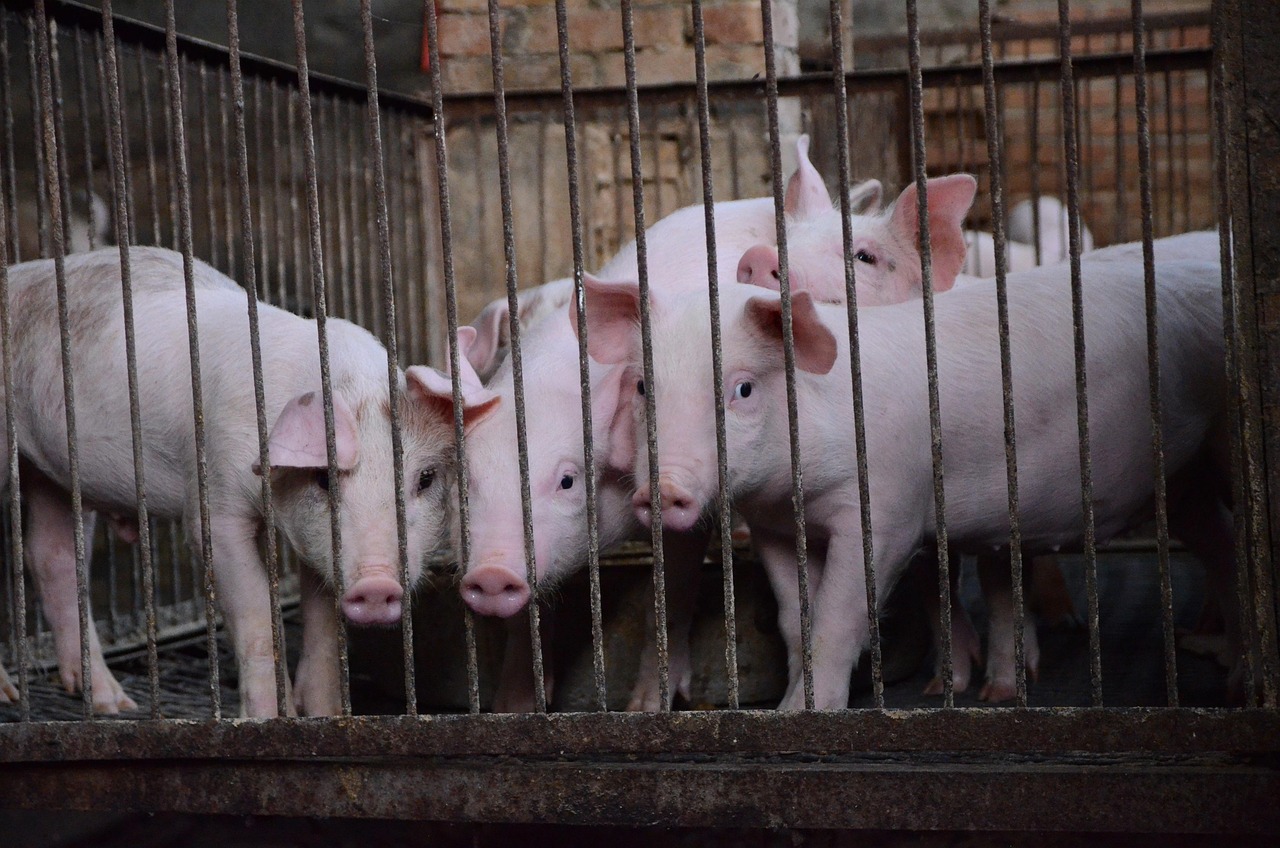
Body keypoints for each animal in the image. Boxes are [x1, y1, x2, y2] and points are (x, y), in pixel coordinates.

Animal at [2, 246, 479, 717]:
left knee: (53, 556)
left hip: (57, 474)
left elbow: (325, 633)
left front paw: (326, 715)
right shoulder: (216, 498)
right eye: (324, 478)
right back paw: (15, 696)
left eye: (426, 478)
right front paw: (268, 719)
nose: (377, 586)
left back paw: (112, 705)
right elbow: (256, 617)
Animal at [583, 257, 1229, 710]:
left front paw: (801, 714)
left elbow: (842, 612)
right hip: (1187, 485)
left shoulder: (889, 507)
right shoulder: (774, 525)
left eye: (742, 388)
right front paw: (795, 699)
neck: (798, 491)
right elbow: (797, 618)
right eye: (642, 387)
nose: (660, 489)